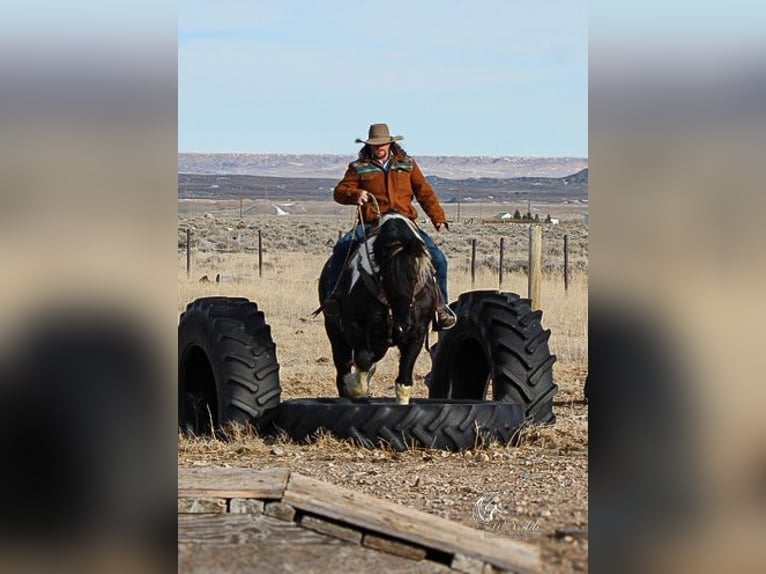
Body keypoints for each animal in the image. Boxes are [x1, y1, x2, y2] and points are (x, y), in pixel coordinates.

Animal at [318, 214, 438, 408]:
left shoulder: (417, 333)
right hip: (334, 330)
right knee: (343, 365)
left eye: (415, 277)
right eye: (385, 276)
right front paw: (354, 386)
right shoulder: (354, 326)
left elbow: (404, 378)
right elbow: (362, 363)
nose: (404, 325)